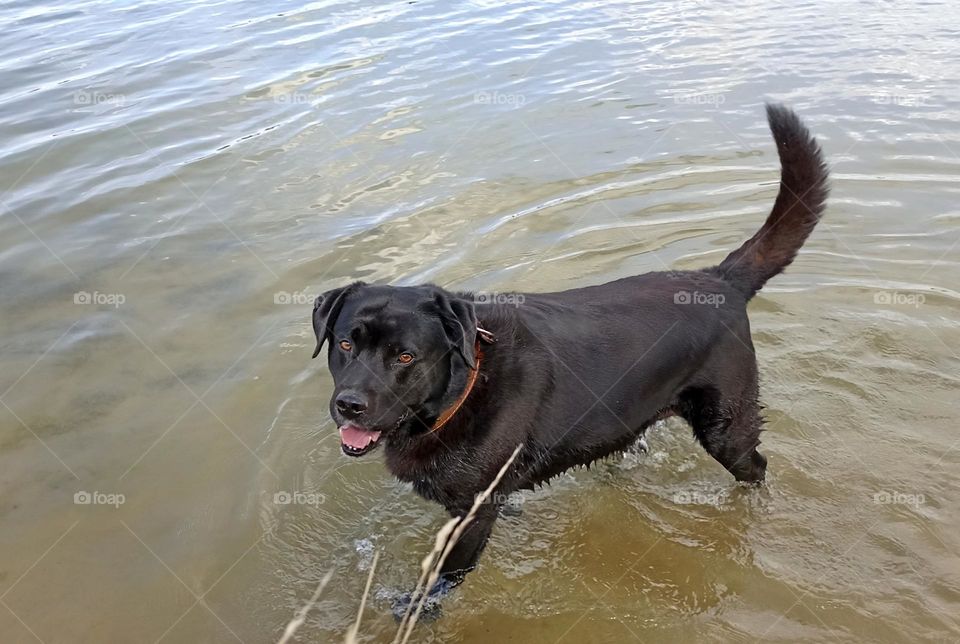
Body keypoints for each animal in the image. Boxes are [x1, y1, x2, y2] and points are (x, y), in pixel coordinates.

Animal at [312, 103, 828, 608]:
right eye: (345, 344)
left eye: (405, 357)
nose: (349, 405)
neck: (465, 387)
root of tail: (719, 279)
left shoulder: (472, 513)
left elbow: (444, 577)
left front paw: (415, 609)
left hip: (727, 427)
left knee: (756, 468)